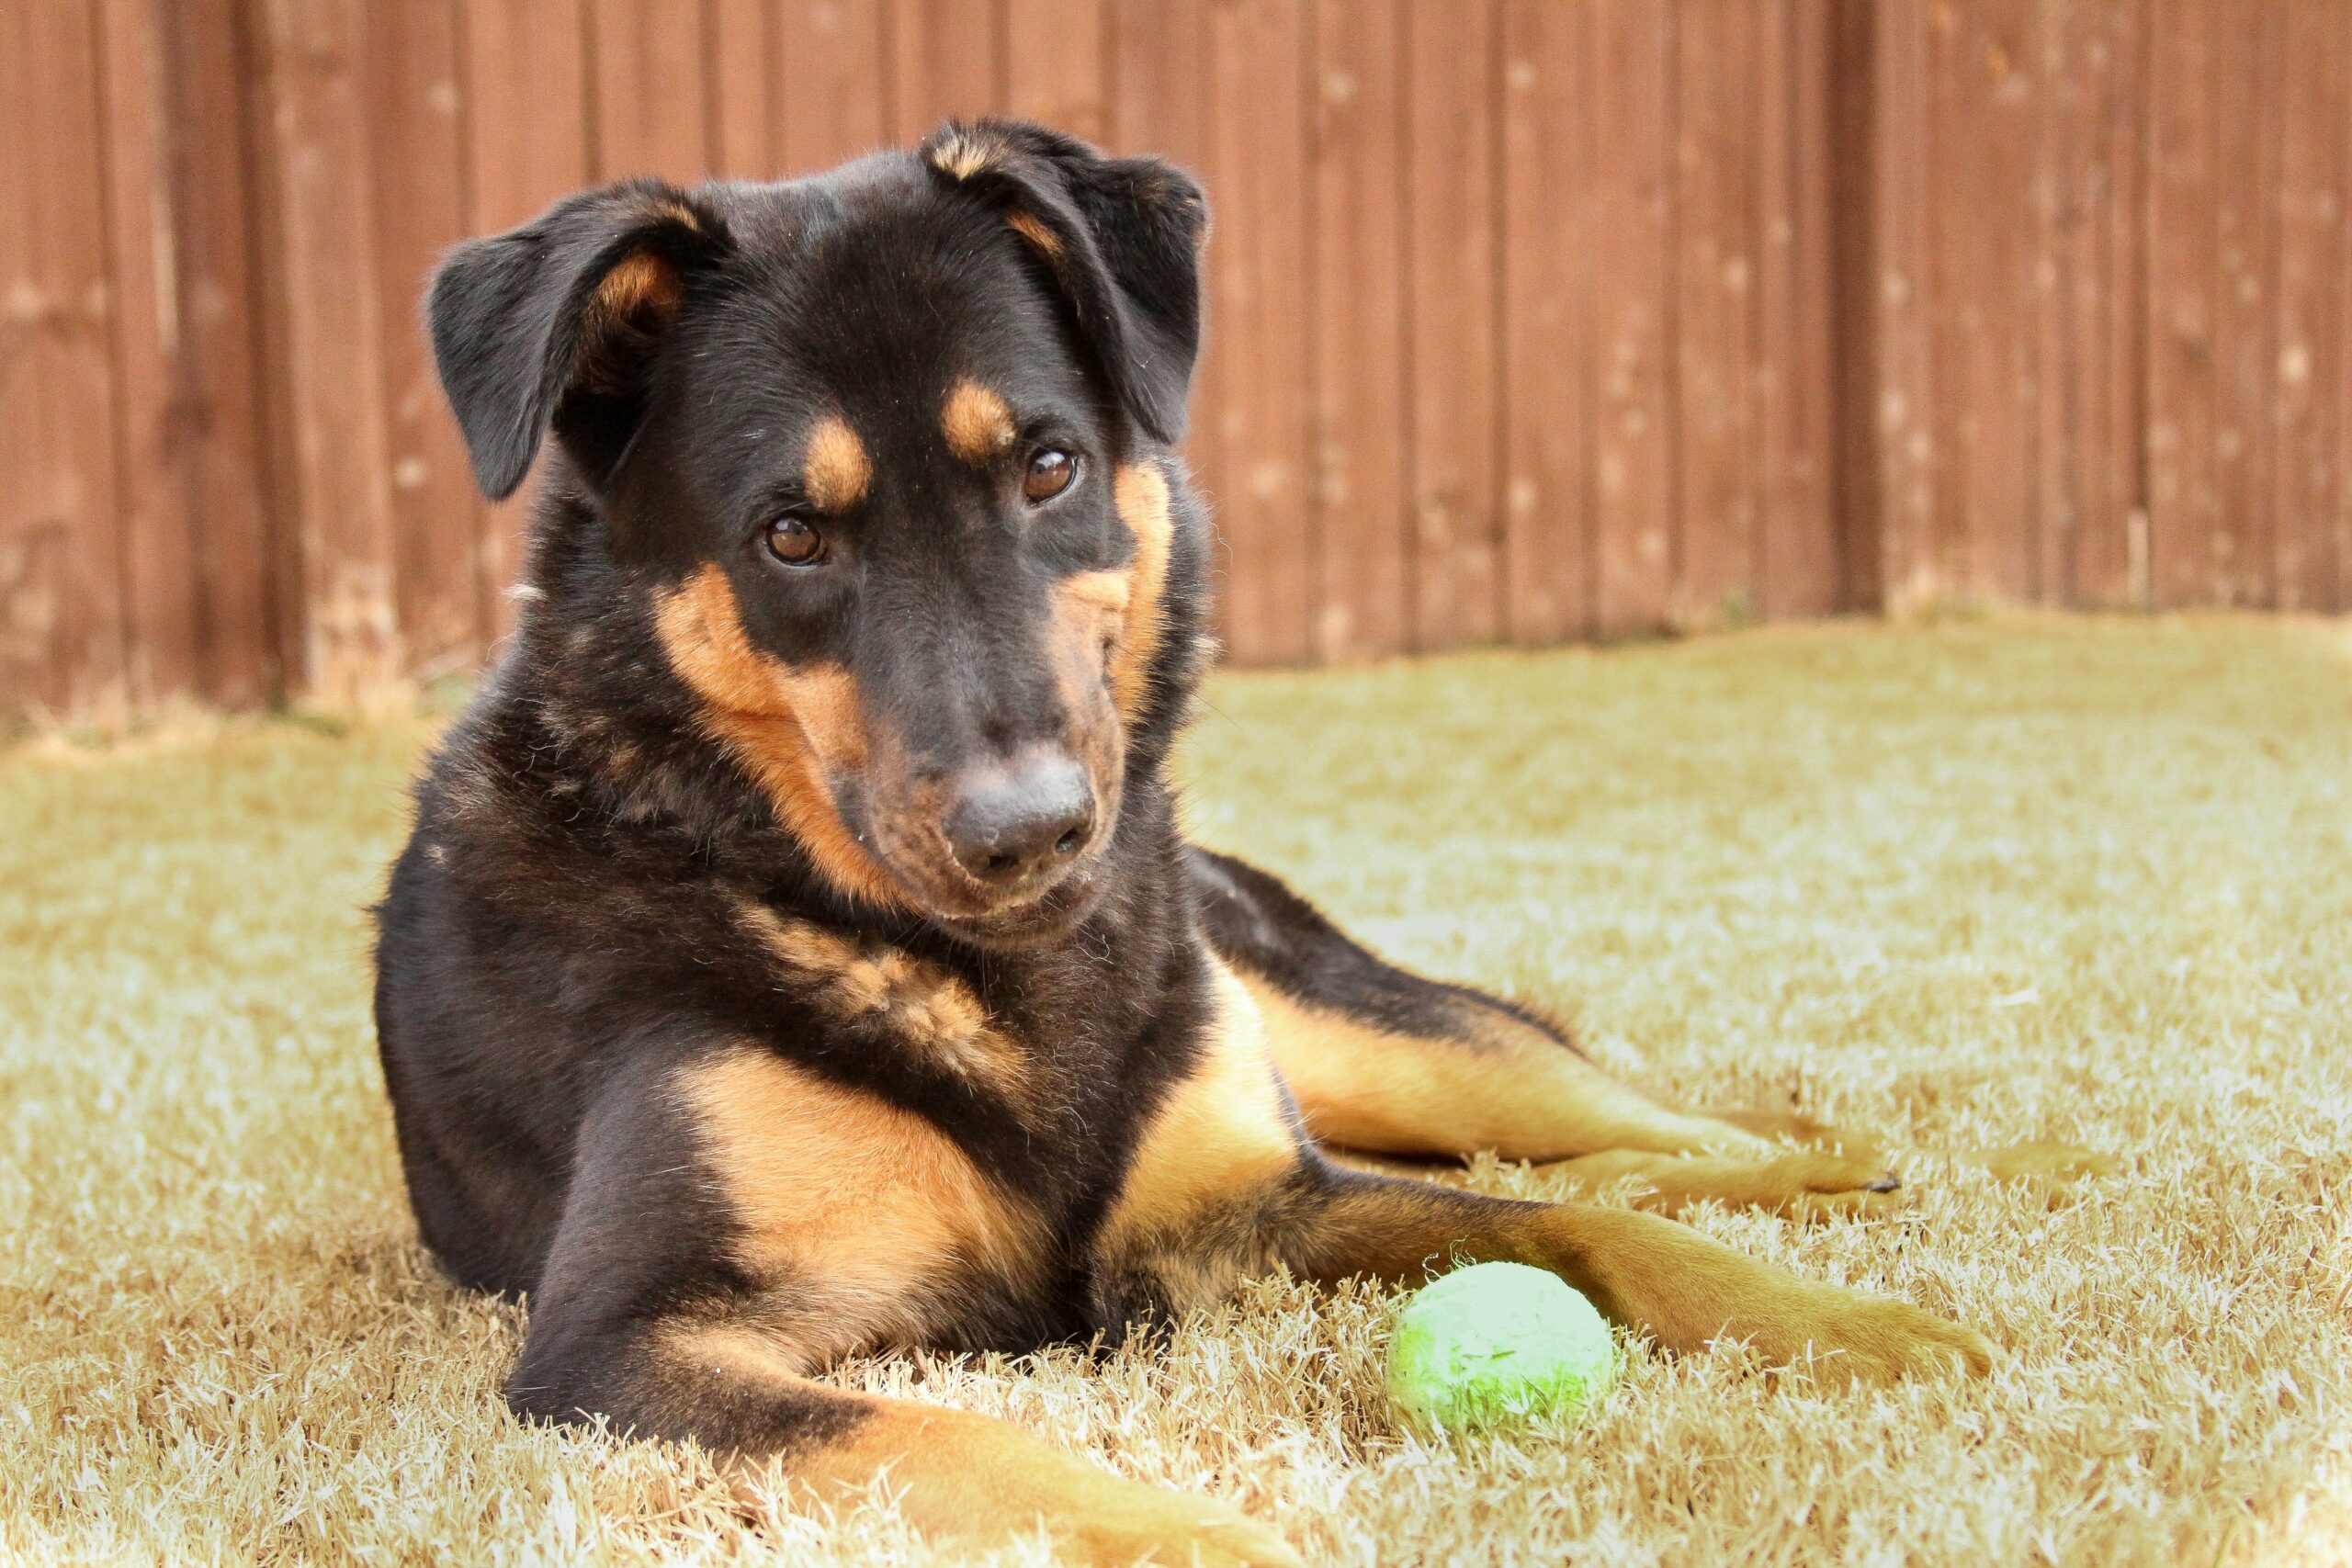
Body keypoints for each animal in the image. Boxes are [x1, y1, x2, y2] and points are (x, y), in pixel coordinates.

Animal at [376, 119, 2088, 1568]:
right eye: (790, 534)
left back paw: (1906, 1155)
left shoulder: (1260, 1199)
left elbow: (1576, 1222)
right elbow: (952, 1438)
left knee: (1612, 1122)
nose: (1030, 830)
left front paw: (1840, 1320)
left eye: (1050, 465)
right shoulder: (623, 1347)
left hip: (1349, 1025)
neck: (979, 972)